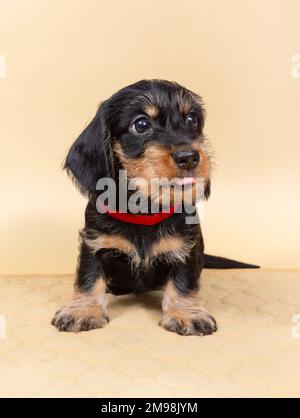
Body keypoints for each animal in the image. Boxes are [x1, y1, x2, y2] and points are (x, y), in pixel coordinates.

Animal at [51, 79, 258, 336]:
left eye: (192, 119)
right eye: (141, 124)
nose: (189, 157)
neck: (145, 207)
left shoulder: (186, 248)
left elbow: (183, 282)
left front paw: (186, 313)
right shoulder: (95, 244)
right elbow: (89, 277)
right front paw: (83, 310)